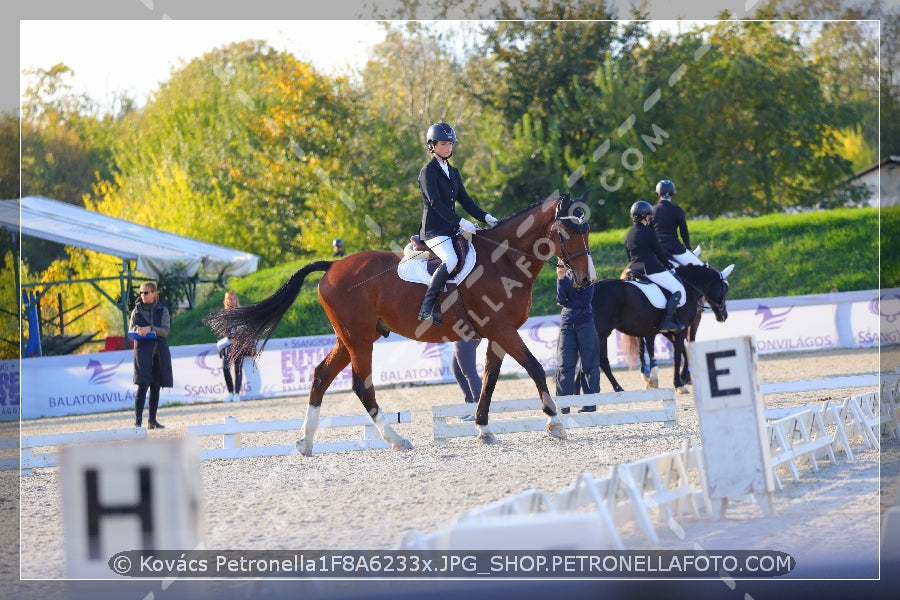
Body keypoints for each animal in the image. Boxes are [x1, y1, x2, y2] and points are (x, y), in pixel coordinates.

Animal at [205, 192, 596, 450]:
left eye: (587, 231)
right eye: (566, 233)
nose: (586, 279)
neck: (503, 260)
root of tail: (332, 266)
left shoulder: (497, 333)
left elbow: (489, 379)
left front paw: (483, 428)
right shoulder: (501, 329)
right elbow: (533, 367)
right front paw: (555, 422)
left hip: (350, 338)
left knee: (320, 377)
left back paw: (305, 441)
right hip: (360, 338)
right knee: (361, 386)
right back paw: (395, 438)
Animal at [592, 264, 732, 396]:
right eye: (725, 288)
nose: (724, 316)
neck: (688, 288)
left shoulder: (667, 331)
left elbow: (683, 351)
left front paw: (678, 379)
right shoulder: (680, 330)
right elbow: (677, 356)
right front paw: (679, 384)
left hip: (602, 334)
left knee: (602, 361)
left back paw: (614, 389)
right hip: (602, 333)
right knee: (599, 361)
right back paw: (614, 389)